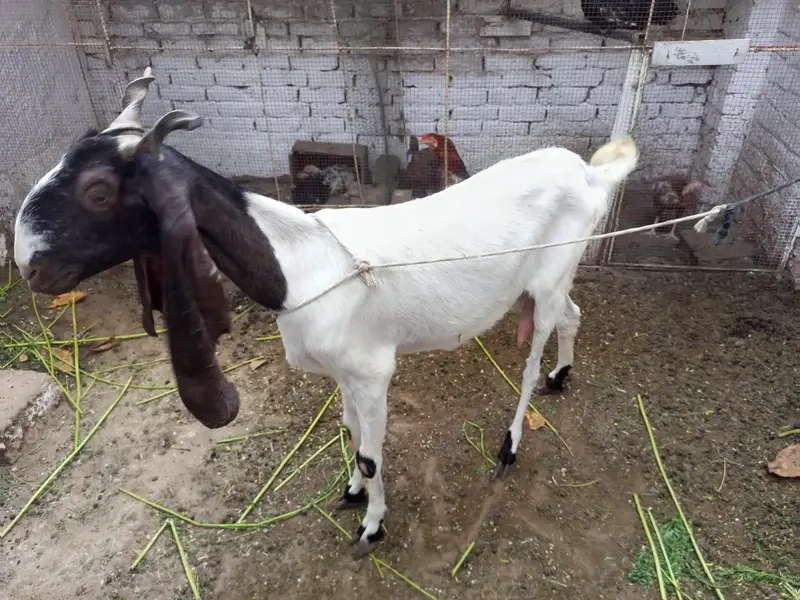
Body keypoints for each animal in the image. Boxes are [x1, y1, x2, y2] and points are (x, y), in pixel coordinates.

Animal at [14, 69, 639, 558]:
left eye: (98, 191)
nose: (28, 264)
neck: (299, 265)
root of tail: (590, 174)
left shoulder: (372, 370)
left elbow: (370, 453)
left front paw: (371, 527)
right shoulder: (345, 373)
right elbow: (351, 430)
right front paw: (354, 494)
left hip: (551, 274)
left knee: (530, 362)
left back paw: (510, 443)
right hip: (554, 279)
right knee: (572, 314)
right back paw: (562, 375)